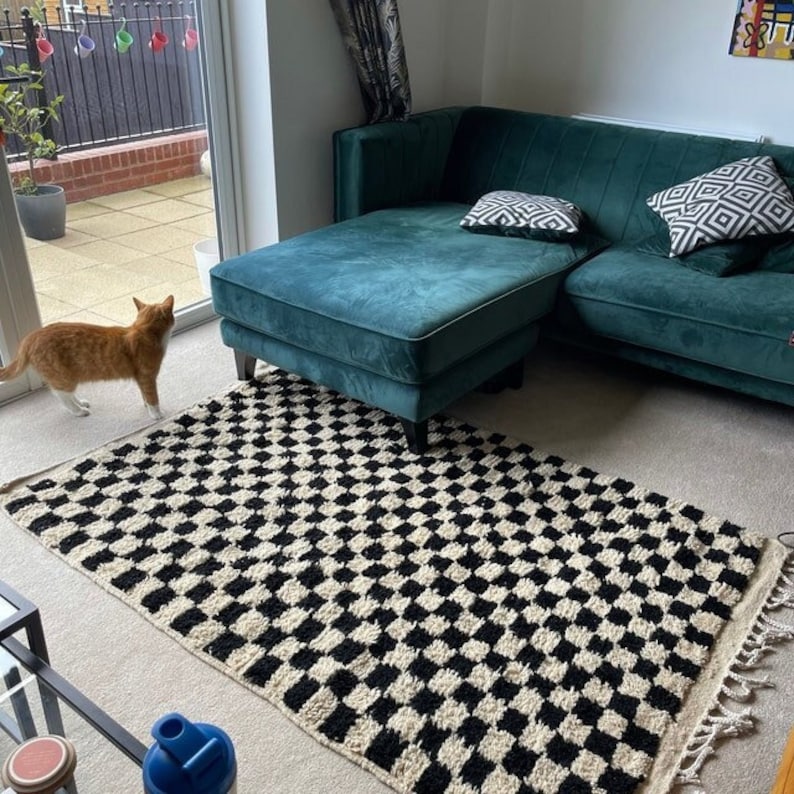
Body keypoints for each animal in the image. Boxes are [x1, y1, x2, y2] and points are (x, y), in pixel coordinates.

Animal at [0, 294, 175, 418]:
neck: (143, 330)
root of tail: (31, 336)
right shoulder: (147, 377)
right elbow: (153, 397)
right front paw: (156, 414)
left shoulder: (140, 378)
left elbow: (144, 395)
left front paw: (146, 407)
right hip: (63, 377)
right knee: (60, 395)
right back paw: (78, 411)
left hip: (67, 377)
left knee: (67, 393)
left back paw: (81, 403)